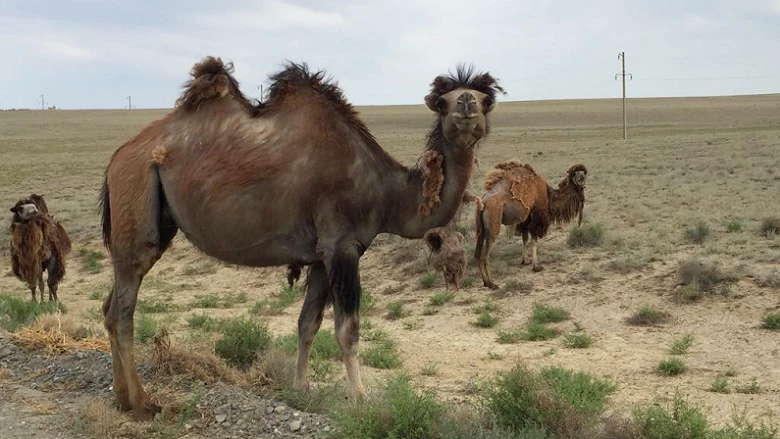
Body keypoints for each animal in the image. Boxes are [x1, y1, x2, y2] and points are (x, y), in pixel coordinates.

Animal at [97, 56, 506, 422]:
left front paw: (301, 389)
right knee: (123, 308)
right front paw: (361, 398)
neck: (384, 190)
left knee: (109, 306)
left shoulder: (321, 256)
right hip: (137, 193)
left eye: (486, 100)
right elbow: (348, 330)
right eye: (443, 101)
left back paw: (121, 399)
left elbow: (307, 325)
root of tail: (117, 157)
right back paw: (143, 404)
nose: (466, 105)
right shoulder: (342, 246)